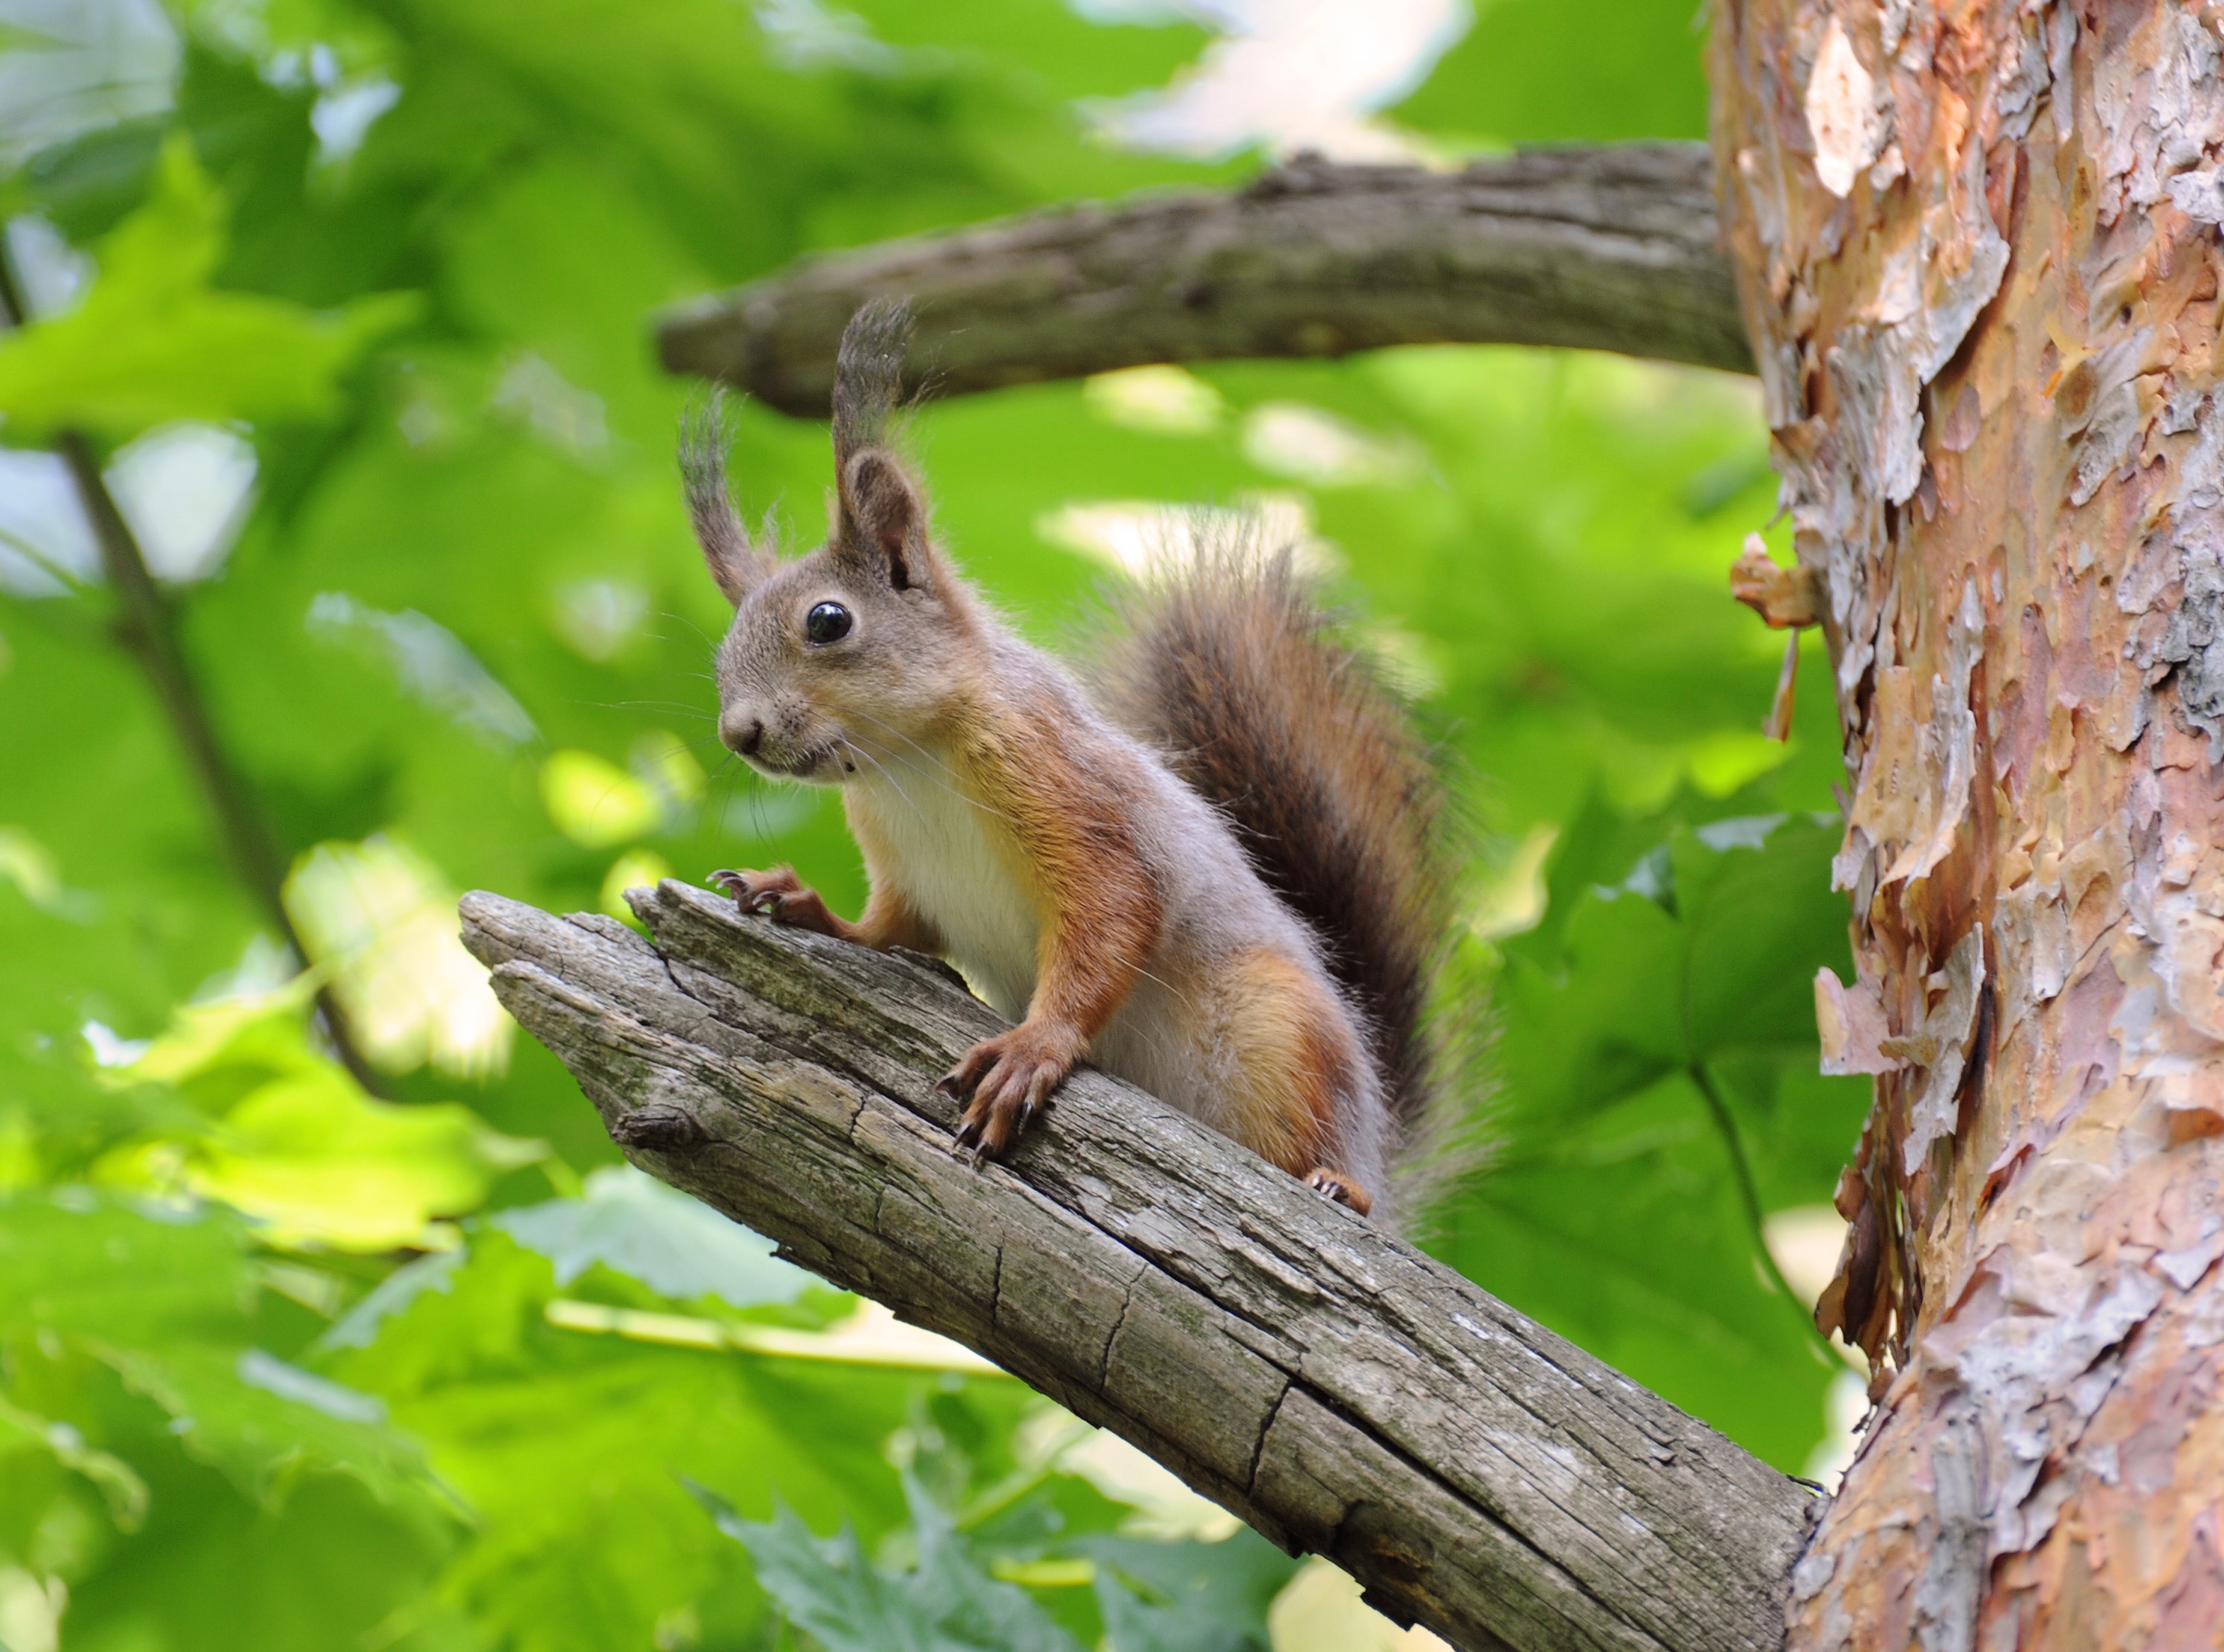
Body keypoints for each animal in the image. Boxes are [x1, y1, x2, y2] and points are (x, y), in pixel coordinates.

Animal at [685, 302, 1449, 1221]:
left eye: (827, 621)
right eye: (724, 649)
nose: (740, 733)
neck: (907, 767)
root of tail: (1379, 1142)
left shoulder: (1064, 785)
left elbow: (1111, 916)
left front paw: (1034, 1047)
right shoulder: (909, 876)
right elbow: (888, 929)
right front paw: (798, 903)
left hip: (1280, 1029)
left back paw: (1338, 1184)